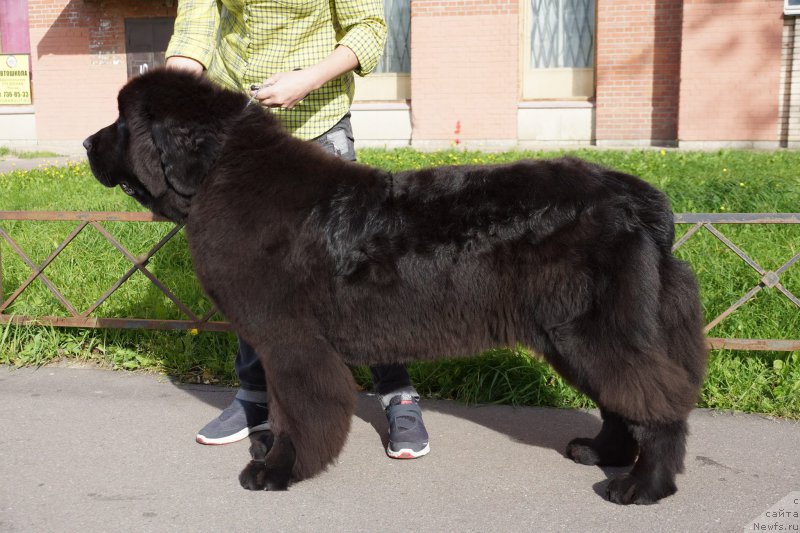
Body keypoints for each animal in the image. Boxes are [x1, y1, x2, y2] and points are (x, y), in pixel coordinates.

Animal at [83, 69, 708, 502]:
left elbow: (299, 412)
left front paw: (278, 469)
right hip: (569, 335)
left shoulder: (291, 343)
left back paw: (643, 485)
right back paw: (602, 453)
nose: (87, 144)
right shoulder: (280, 342)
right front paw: (273, 453)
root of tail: (636, 197)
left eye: (121, 122)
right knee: (622, 399)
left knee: (656, 400)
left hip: (592, 331)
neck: (222, 173)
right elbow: (287, 409)